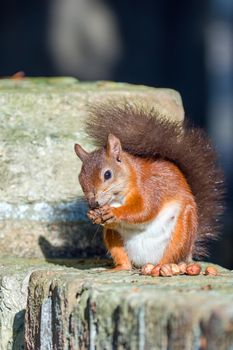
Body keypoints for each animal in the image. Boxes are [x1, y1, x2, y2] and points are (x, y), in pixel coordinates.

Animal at [73, 101, 223, 270]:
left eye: (107, 174)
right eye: (80, 178)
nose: (93, 203)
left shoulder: (151, 188)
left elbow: (145, 209)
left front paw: (115, 212)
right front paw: (92, 214)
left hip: (183, 229)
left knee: (171, 254)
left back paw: (160, 268)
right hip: (114, 238)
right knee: (124, 260)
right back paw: (120, 267)